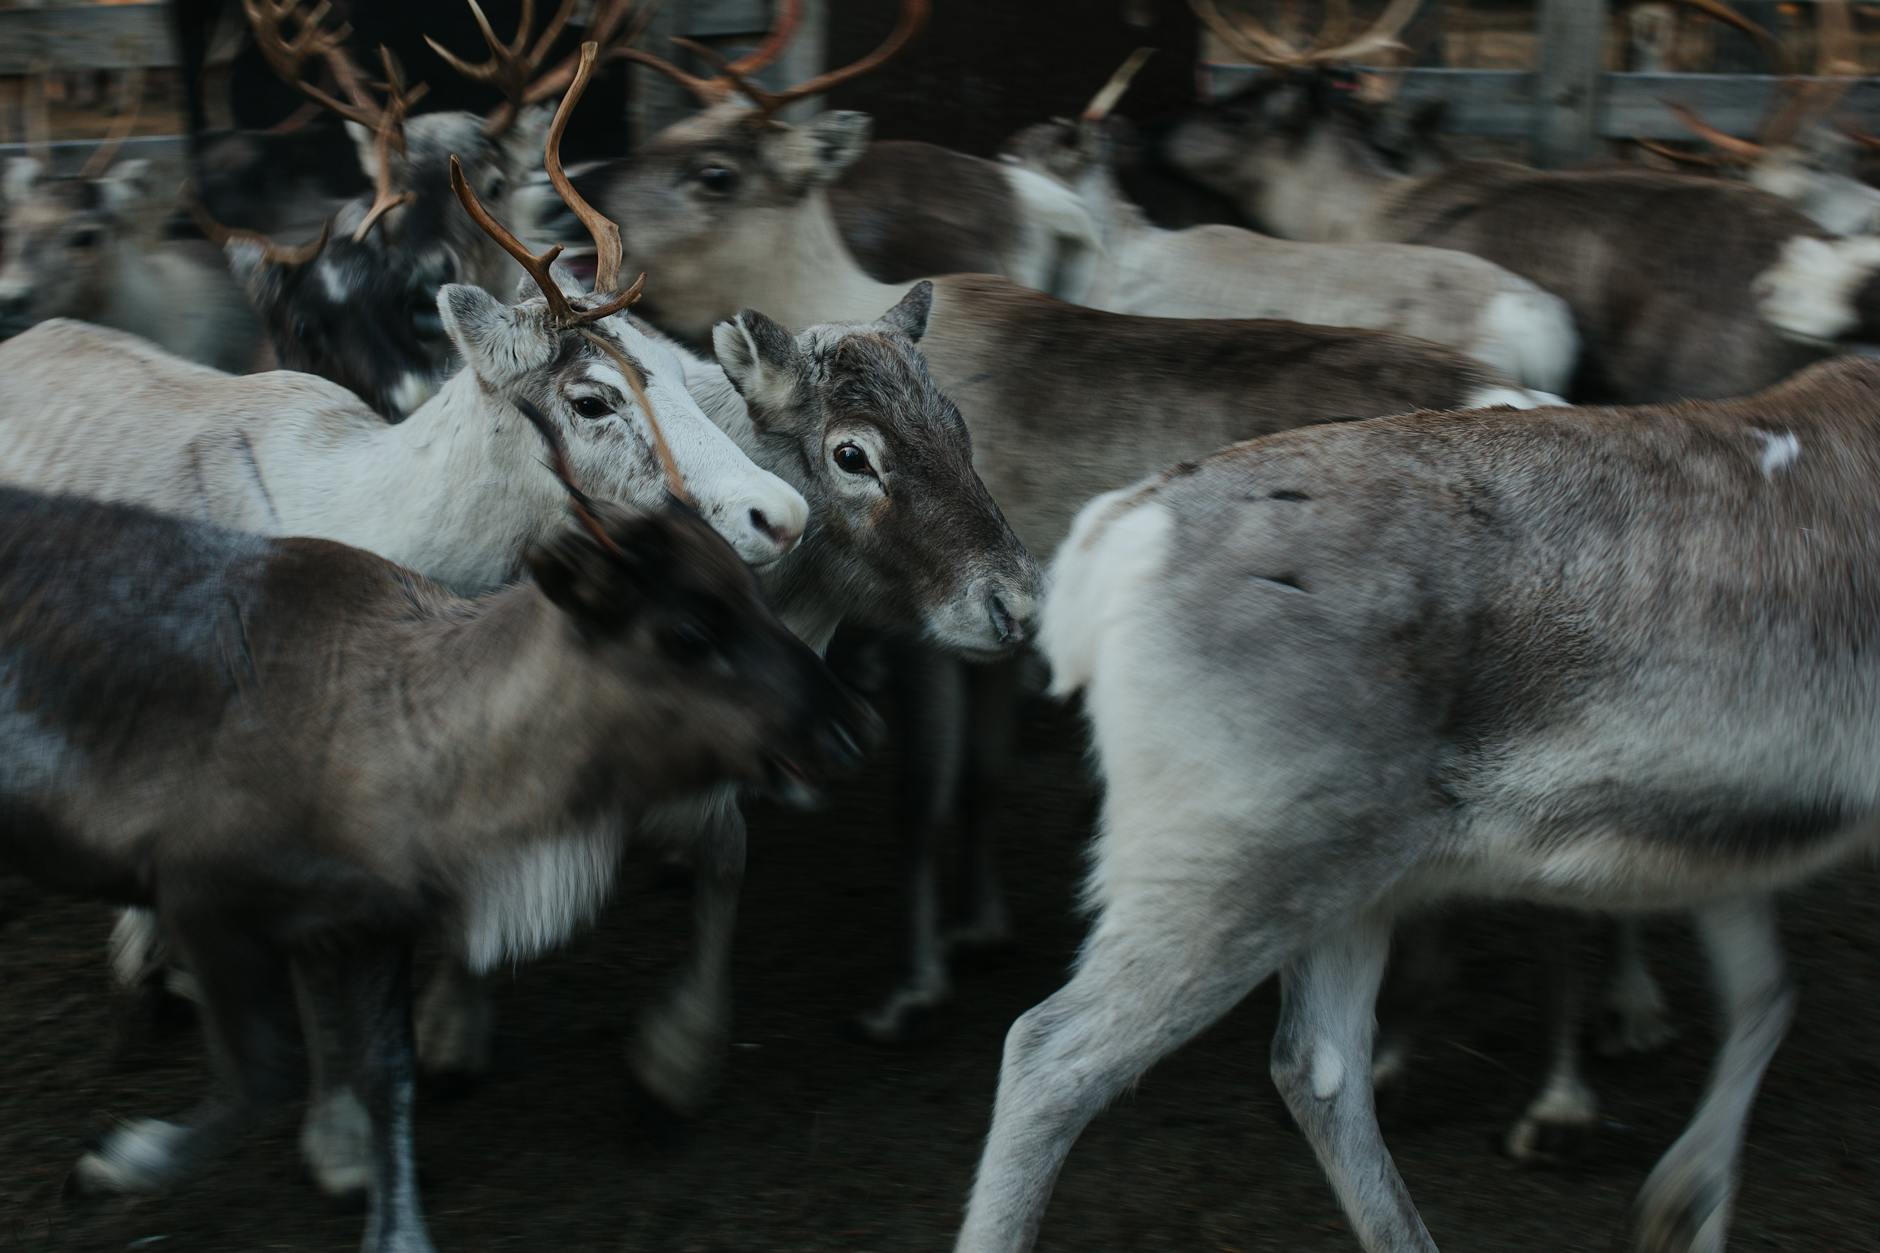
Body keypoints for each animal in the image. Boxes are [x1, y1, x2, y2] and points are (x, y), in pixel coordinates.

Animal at [1, 404, 872, 1253]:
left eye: (756, 594)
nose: (848, 731)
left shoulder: (376, 922)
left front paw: (398, 1226)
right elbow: (266, 1074)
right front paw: (119, 1159)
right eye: (690, 630)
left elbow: (390, 1073)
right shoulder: (204, 898)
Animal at [958, 350, 1880, 1253]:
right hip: (1230, 866)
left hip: (1342, 875)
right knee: (1052, 1056)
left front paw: (1683, 1206)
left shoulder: (1732, 832)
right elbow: (1762, 997)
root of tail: (1121, 529)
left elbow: (1764, 994)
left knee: (1318, 1064)